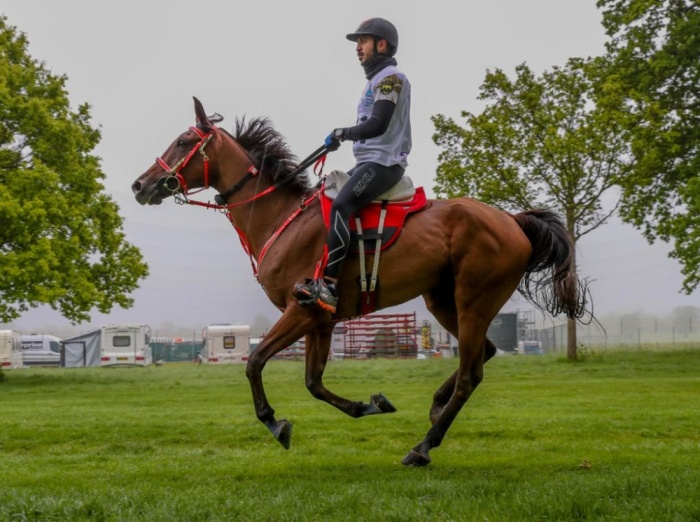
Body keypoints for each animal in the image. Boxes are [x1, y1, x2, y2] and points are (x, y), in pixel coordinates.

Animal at [130, 96, 584, 464]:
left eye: (184, 142)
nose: (140, 184)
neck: (280, 217)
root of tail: (514, 221)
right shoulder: (320, 320)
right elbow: (314, 383)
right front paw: (370, 405)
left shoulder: (299, 311)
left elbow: (255, 362)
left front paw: (275, 422)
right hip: (443, 301)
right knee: (483, 354)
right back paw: (435, 406)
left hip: (473, 301)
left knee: (471, 373)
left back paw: (422, 447)